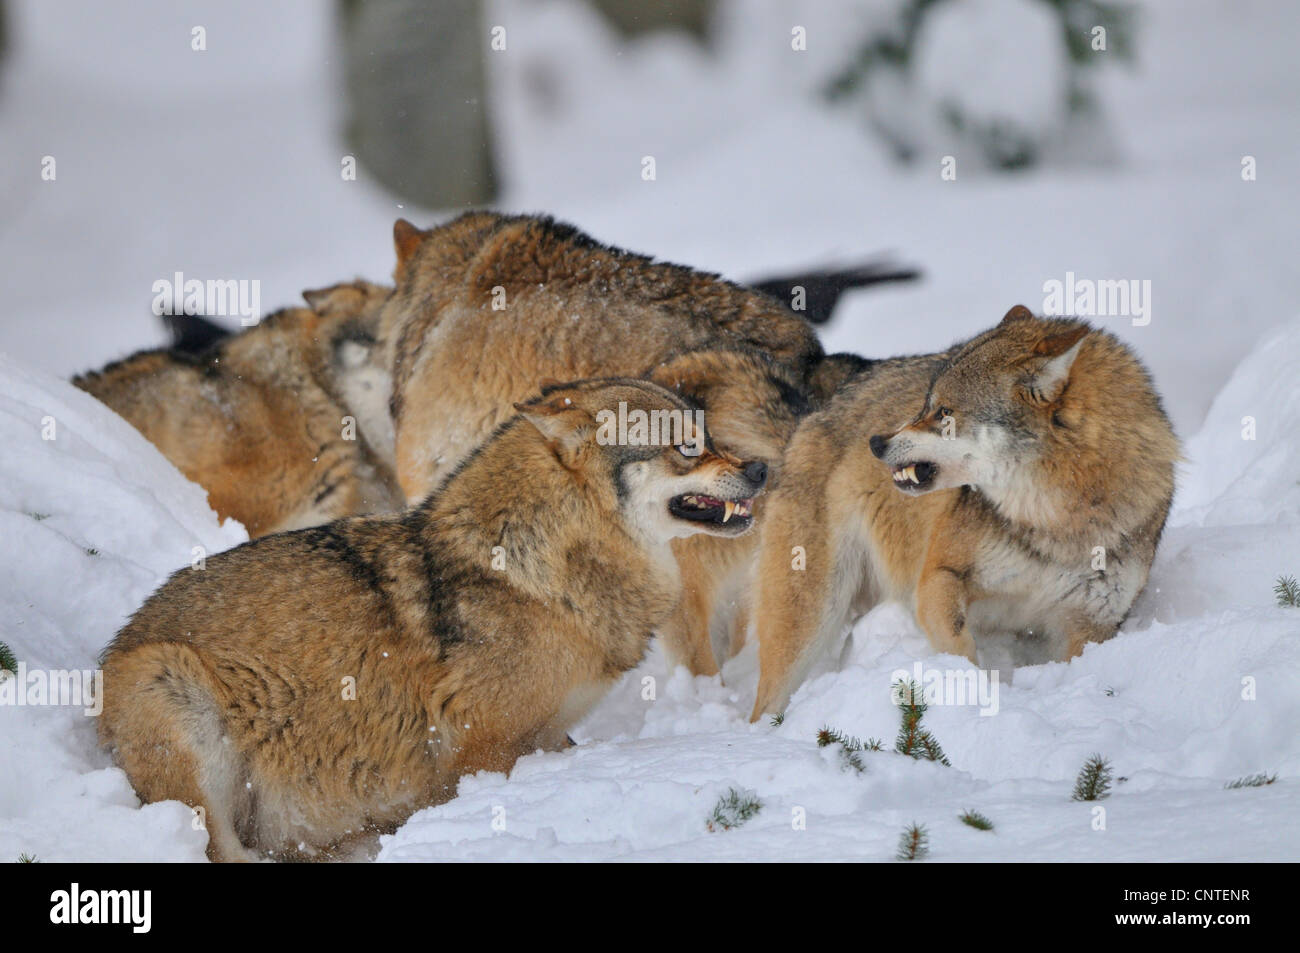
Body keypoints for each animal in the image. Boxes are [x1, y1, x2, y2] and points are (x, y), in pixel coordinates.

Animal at [101, 379, 769, 863]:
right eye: (687, 446)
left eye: (710, 435)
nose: (763, 469)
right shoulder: (484, 747)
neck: (544, 569)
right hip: (176, 691)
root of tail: (115, 648)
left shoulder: (553, 733)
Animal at [748, 304, 1185, 712]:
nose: (876, 442)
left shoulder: (1089, 628)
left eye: (944, 413)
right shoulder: (938, 578)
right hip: (808, 621)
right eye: (926, 405)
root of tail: (823, 406)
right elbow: (961, 651)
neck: (1054, 522)